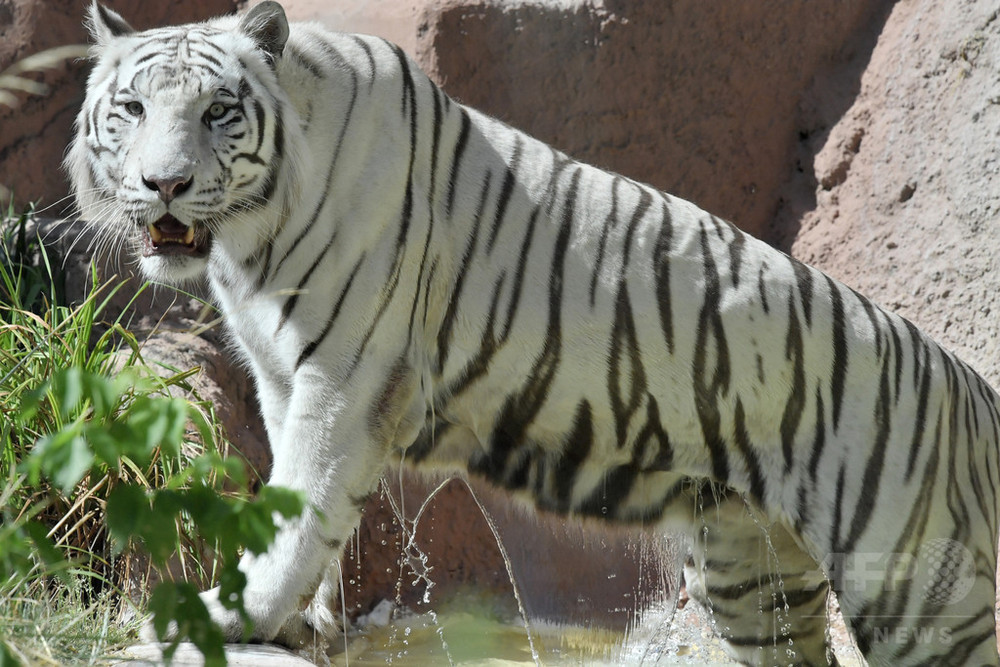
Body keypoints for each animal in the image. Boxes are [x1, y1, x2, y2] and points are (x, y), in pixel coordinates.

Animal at [68, 2, 1000, 664]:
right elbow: (295, 507)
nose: (163, 183)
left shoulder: (345, 375)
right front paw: (307, 625)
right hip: (749, 570)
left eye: (219, 111)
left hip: (917, 590)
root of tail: (971, 388)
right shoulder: (278, 375)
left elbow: (302, 506)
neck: (249, 243)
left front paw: (238, 615)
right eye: (133, 108)